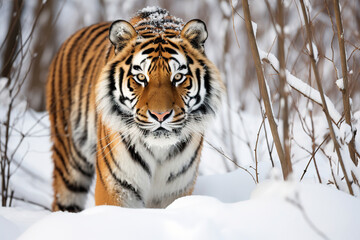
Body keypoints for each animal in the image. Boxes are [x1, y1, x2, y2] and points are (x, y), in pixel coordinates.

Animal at [46, 6, 224, 212]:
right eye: (140, 77)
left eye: (178, 77)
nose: (160, 115)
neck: (159, 151)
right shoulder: (116, 188)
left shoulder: (175, 191)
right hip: (70, 162)